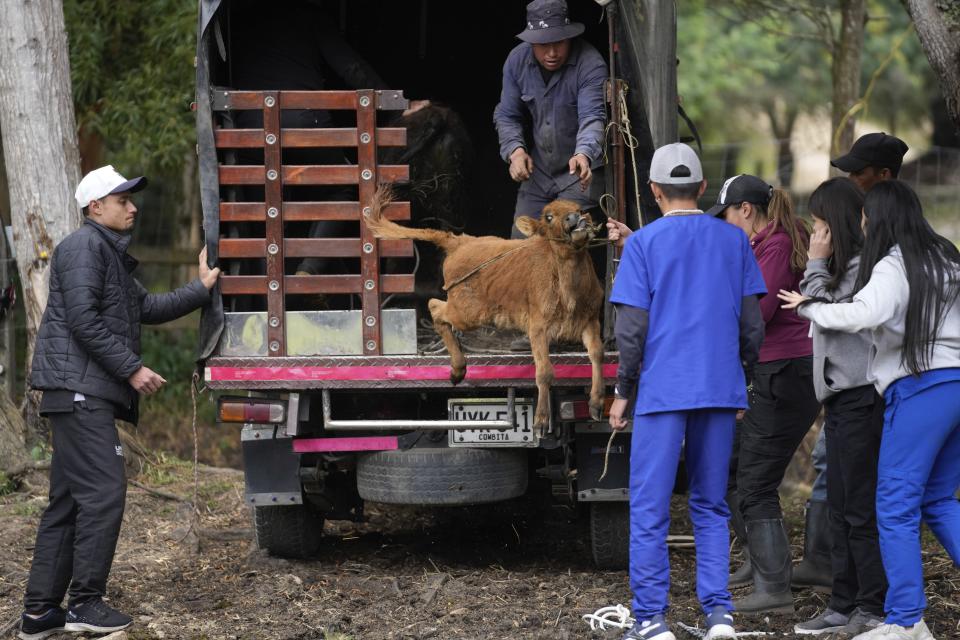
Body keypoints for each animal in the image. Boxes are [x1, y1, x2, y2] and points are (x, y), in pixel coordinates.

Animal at [364, 186, 604, 436]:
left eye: (578, 208)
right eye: (549, 216)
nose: (575, 217)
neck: (568, 283)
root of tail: (459, 241)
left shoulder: (591, 320)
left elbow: (597, 353)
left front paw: (596, 404)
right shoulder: (538, 327)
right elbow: (545, 372)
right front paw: (540, 421)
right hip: (467, 312)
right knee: (435, 307)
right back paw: (458, 369)